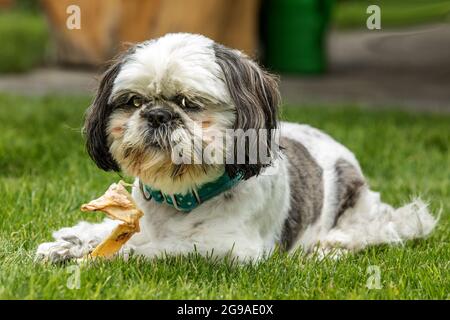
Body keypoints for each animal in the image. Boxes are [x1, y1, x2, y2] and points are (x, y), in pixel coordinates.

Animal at [37, 33, 438, 262]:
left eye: (188, 103)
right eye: (134, 102)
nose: (157, 115)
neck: (180, 198)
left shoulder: (230, 250)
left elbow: (153, 250)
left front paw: (98, 257)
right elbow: (109, 233)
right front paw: (70, 243)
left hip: (358, 205)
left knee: (372, 229)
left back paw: (332, 245)